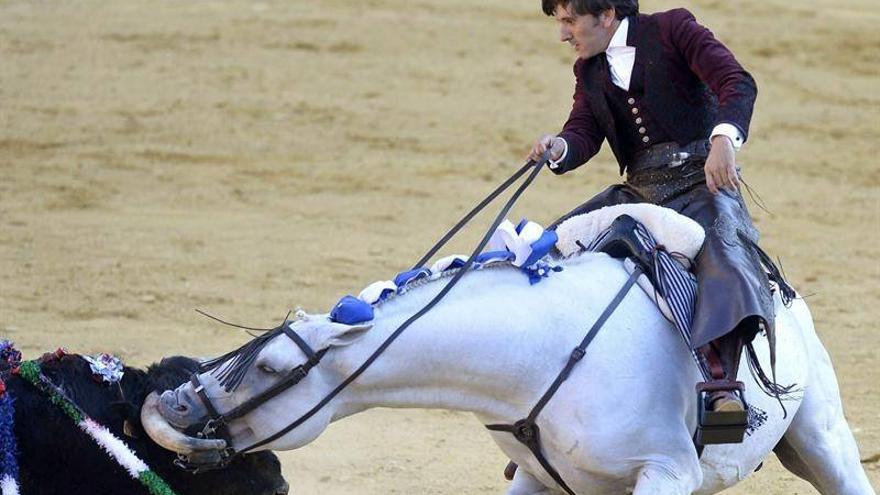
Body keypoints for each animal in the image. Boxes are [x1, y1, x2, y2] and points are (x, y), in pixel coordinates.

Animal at [143, 252, 872, 495]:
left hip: (824, 439)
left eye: (273, 366)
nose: (169, 406)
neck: (544, 352)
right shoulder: (537, 478)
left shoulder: (668, 472)